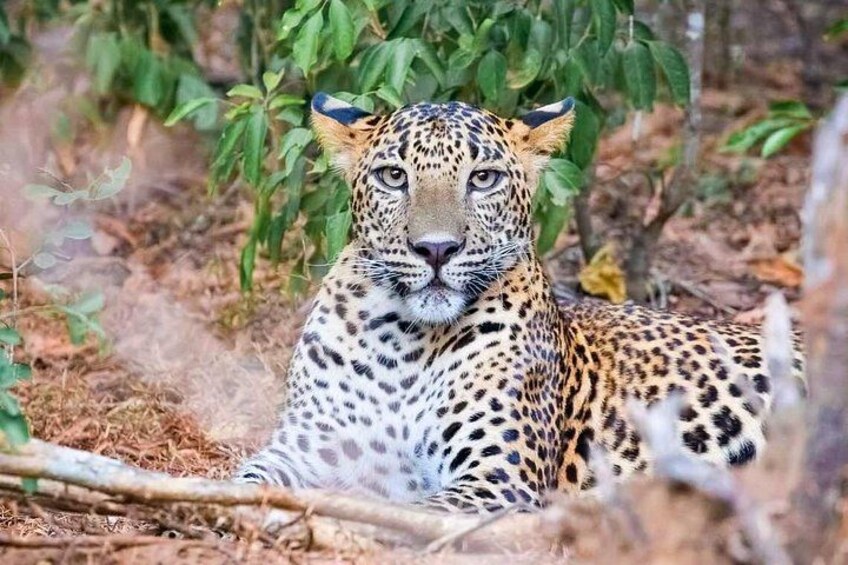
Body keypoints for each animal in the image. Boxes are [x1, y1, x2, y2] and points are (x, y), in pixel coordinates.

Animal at [235, 93, 806, 512]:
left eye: (483, 178)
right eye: (394, 177)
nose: (436, 248)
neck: (403, 340)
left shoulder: (498, 478)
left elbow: (420, 514)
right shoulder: (306, 446)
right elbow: (245, 477)